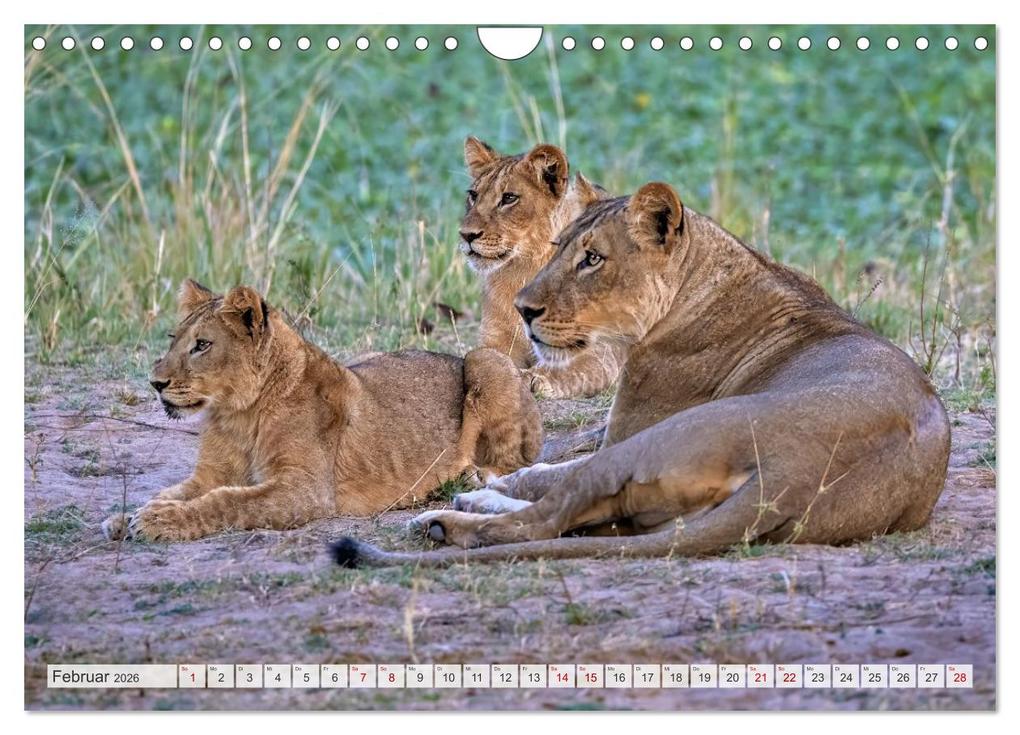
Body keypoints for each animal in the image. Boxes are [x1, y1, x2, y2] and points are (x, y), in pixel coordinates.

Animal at [102, 279, 542, 542]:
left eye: (202, 345)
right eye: (174, 339)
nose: (155, 382)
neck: (238, 413)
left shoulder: (304, 489)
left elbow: (227, 502)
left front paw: (158, 521)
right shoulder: (211, 474)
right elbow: (174, 491)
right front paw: (129, 516)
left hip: (486, 360)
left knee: (515, 462)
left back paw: (470, 476)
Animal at [332, 182, 951, 567]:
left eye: (592, 259)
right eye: (557, 248)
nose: (523, 310)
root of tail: (797, 474)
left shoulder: (624, 430)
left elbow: (548, 468)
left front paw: (497, 482)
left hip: (662, 439)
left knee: (543, 519)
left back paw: (449, 519)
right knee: (578, 522)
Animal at [460, 136, 625, 399]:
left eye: (509, 198)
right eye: (473, 195)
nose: (465, 235)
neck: (521, 270)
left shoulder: (605, 350)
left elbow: (567, 364)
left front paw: (531, 378)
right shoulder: (495, 337)